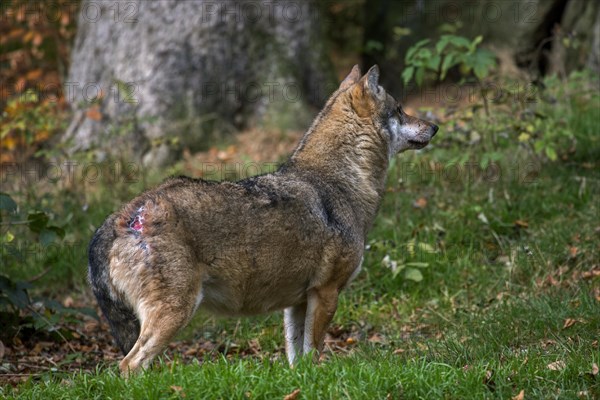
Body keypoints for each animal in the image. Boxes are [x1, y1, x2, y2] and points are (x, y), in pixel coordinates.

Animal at [88, 65, 436, 376]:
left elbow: (297, 358)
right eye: (400, 110)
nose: (434, 127)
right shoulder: (326, 293)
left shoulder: (298, 302)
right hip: (175, 314)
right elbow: (314, 352)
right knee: (129, 365)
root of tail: (122, 217)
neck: (342, 182)